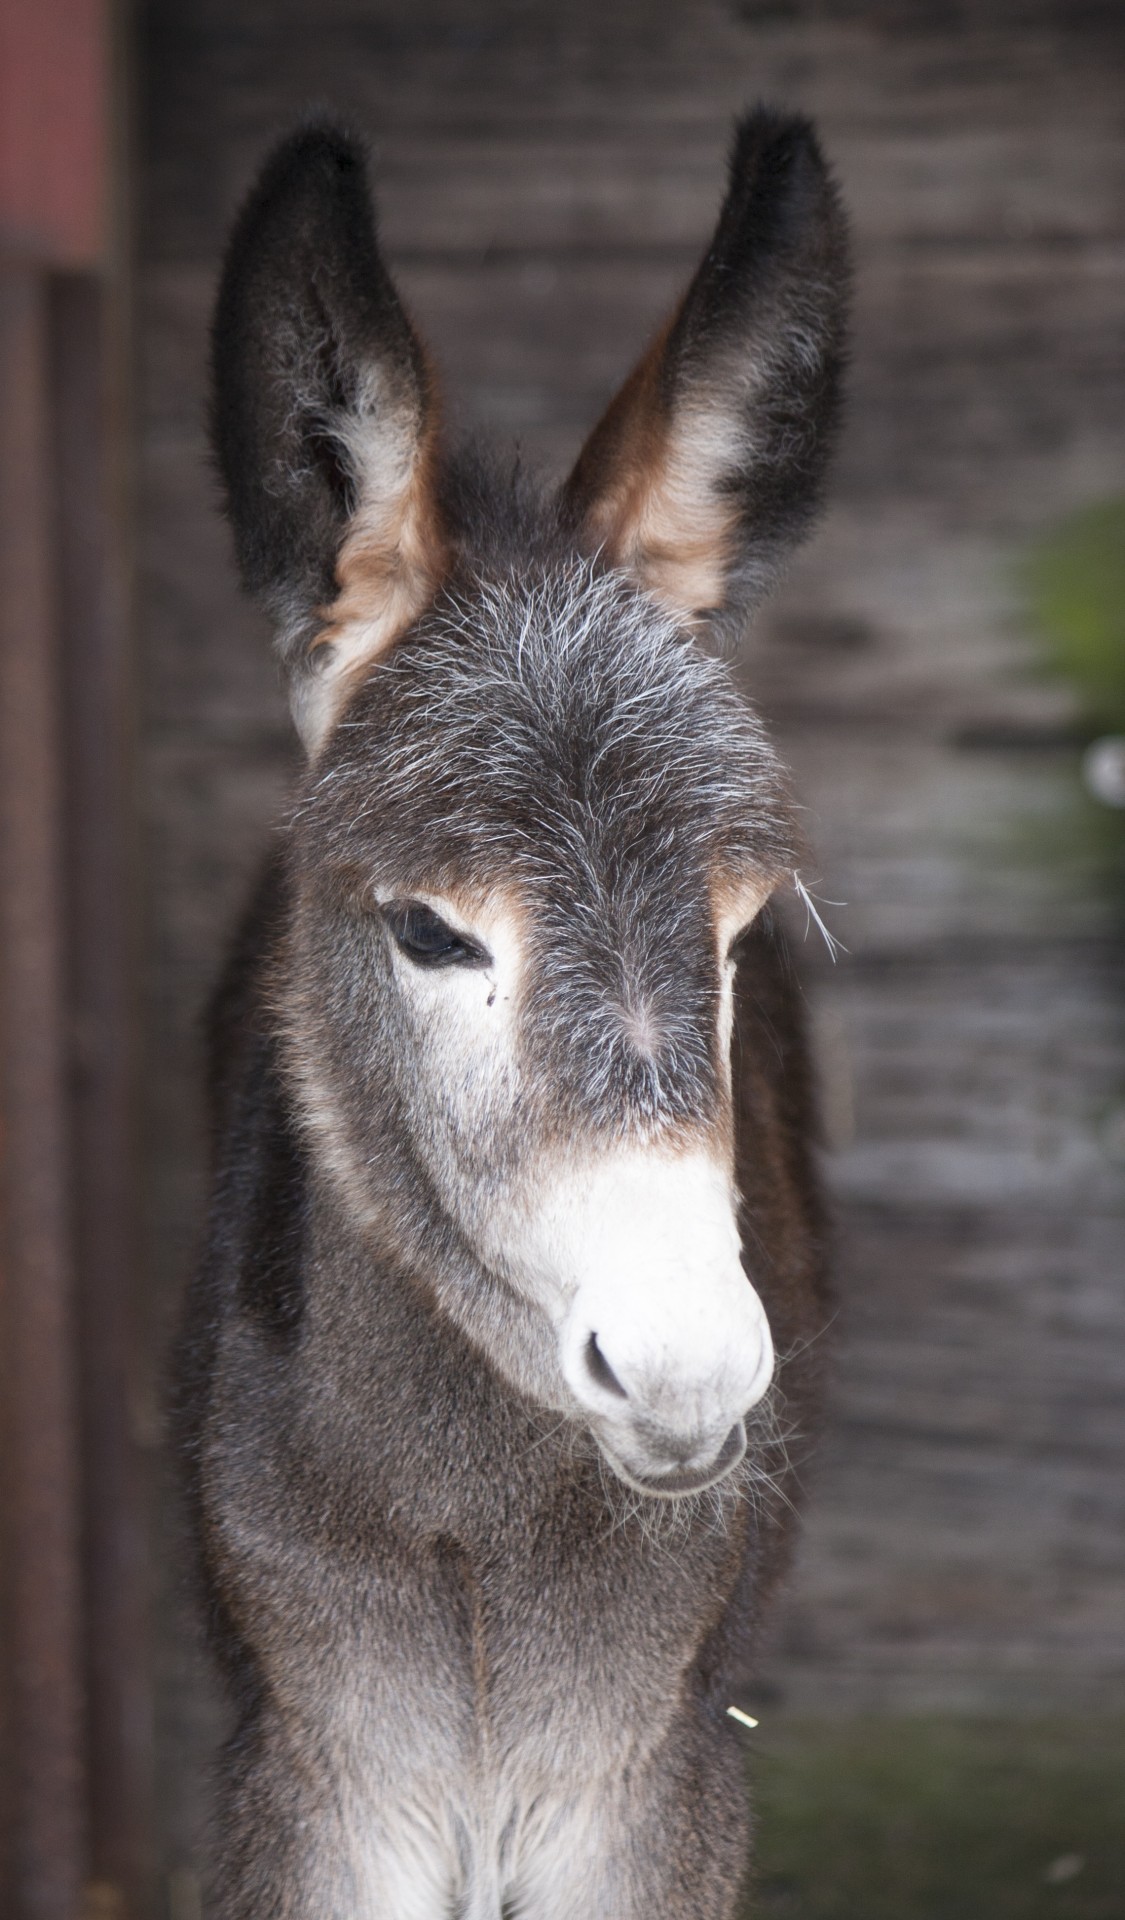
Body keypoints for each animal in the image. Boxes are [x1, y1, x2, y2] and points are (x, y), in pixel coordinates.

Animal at [174, 105, 844, 1920]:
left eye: (739, 927)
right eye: (427, 932)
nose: (686, 1377)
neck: (474, 1525)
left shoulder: (644, 1787)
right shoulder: (320, 1775)